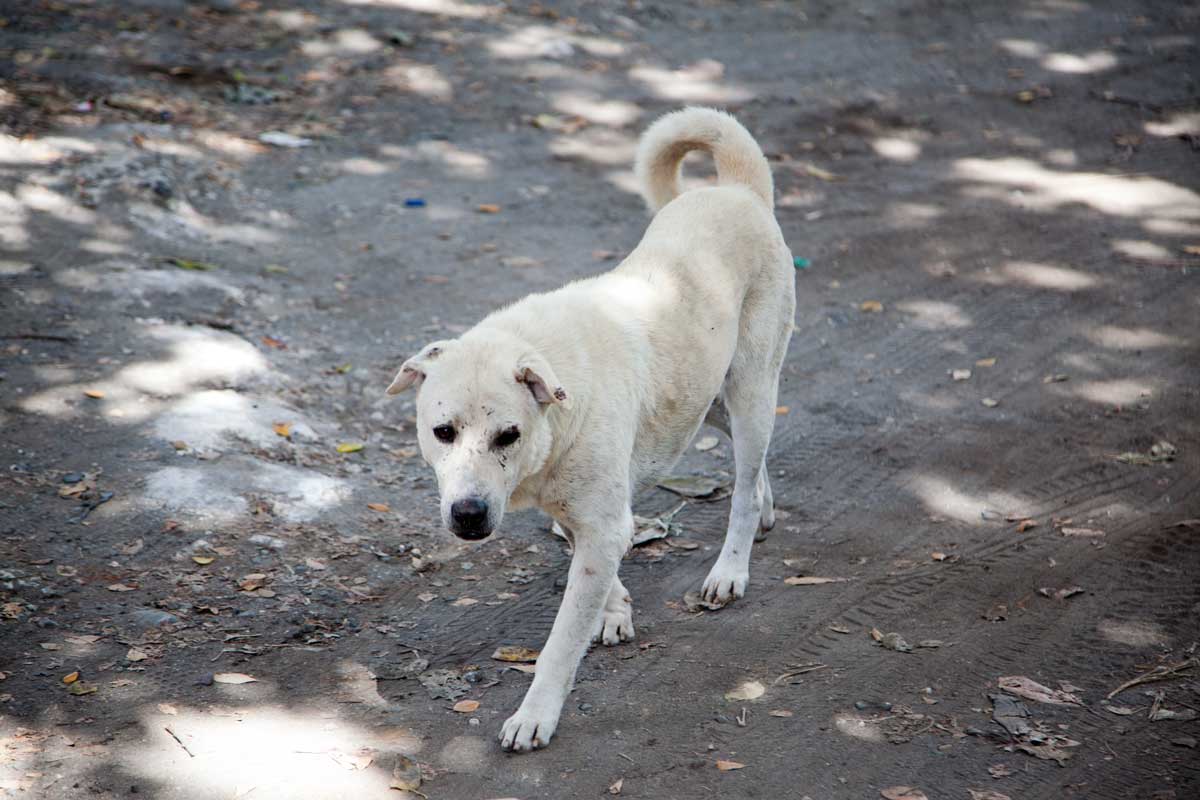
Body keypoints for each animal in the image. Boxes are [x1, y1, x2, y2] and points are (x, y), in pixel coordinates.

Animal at [388, 106, 792, 753]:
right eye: (442, 431)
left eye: (507, 435)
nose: (468, 517)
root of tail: (738, 190)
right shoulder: (589, 520)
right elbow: (597, 559)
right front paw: (615, 608)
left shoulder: (601, 522)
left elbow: (559, 646)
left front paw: (535, 715)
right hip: (705, 398)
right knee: (750, 470)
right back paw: (767, 507)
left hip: (752, 387)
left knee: (744, 487)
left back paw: (731, 569)